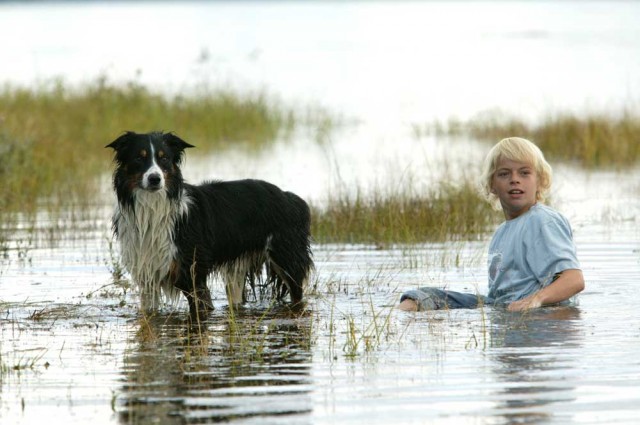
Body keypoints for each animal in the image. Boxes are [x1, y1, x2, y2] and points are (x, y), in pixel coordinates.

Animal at [106, 131, 314, 316]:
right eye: (138, 158)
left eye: (164, 159)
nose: (155, 179)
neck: (152, 206)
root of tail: (290, 197)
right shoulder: (147, 276)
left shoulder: (193, 274)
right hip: (237, 267)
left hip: (287, 259)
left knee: (297, 294)